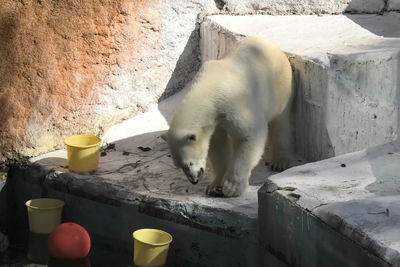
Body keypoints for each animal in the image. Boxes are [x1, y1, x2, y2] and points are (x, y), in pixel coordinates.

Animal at [161, 36, 296, 198]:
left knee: (281, 122)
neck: (209, 89)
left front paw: (232, 187)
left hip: (279, 86)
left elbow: (250, 134)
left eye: (189, 163)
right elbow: (218, 146)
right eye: (179, 165)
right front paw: (214, 185)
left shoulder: (234, 102)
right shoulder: (214, 120)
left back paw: (280, 162)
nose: (194, 180)